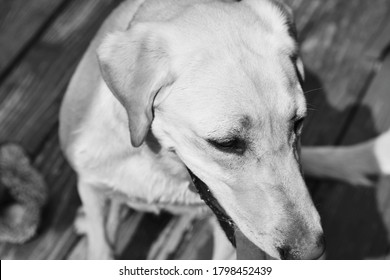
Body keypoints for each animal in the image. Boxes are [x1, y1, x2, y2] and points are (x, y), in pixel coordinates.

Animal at [58, 0, 328, 260]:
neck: (159, 164)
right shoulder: (89, 185)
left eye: (298, 122)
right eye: (226, 143)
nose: (310, 253)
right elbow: (100, 246)